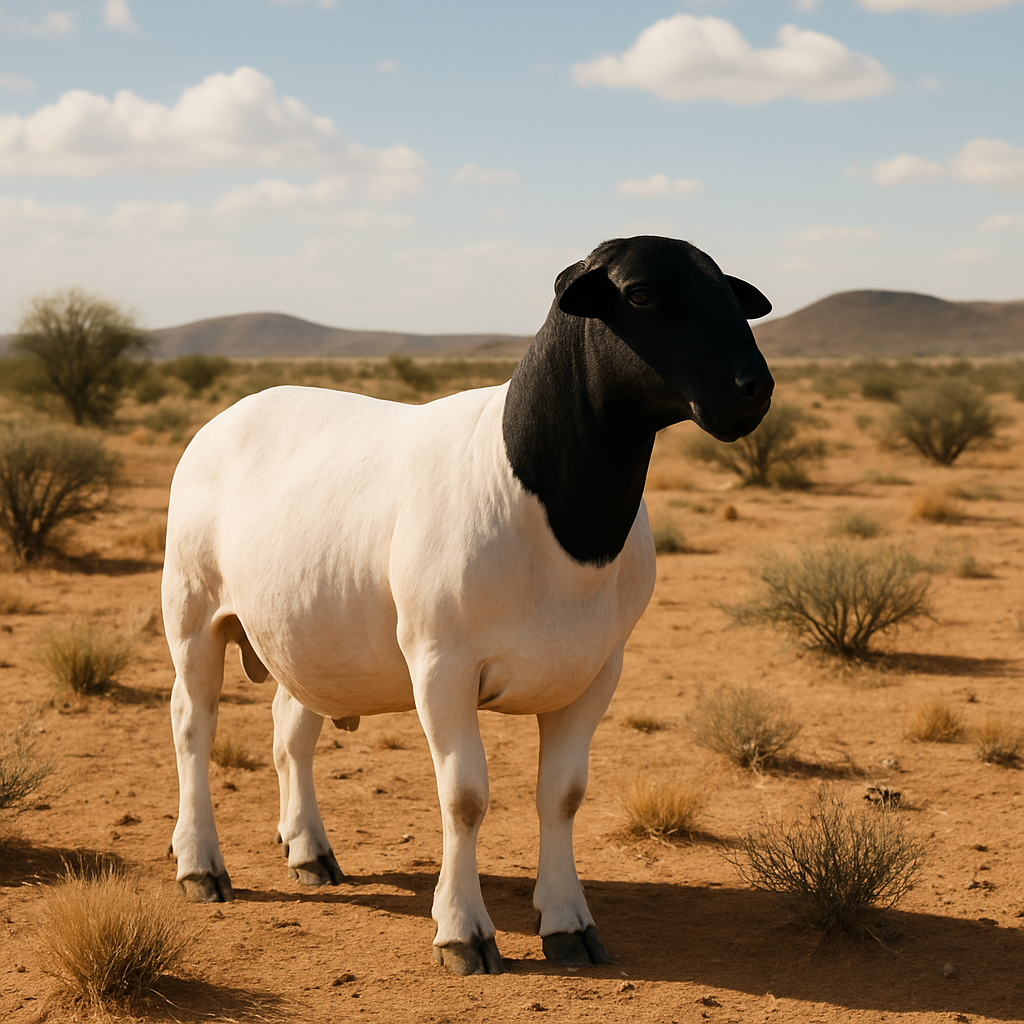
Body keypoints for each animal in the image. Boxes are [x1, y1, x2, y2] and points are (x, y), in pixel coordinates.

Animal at [162, 234, 774, 975]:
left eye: (729, 292)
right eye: (642, 294)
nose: (754, 387)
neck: (548, 504)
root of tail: (231, 412)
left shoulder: (597, 672)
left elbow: (562, 795)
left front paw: (568, 923)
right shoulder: (441, 665)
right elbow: (465, 798)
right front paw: (463, 932)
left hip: (309, 637)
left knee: (290, 731)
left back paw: (308, 850)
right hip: (192, 610)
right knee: (193, 726)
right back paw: (200, 866)